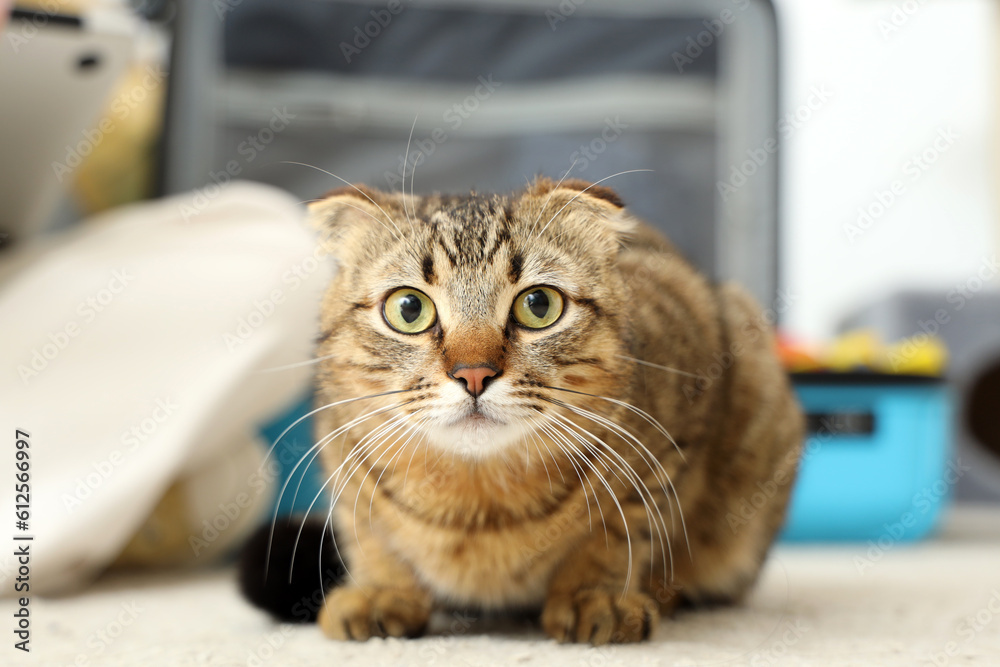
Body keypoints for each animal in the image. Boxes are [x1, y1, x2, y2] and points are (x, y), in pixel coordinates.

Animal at [304, 175, 804, 644]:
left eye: (538, 304)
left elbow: (620, 530)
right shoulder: (340, 455)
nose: (474, 374)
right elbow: (369, 535)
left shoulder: (671, 441)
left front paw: (594, 596)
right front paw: (381, 590)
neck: (479, 505)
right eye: (409, 308)